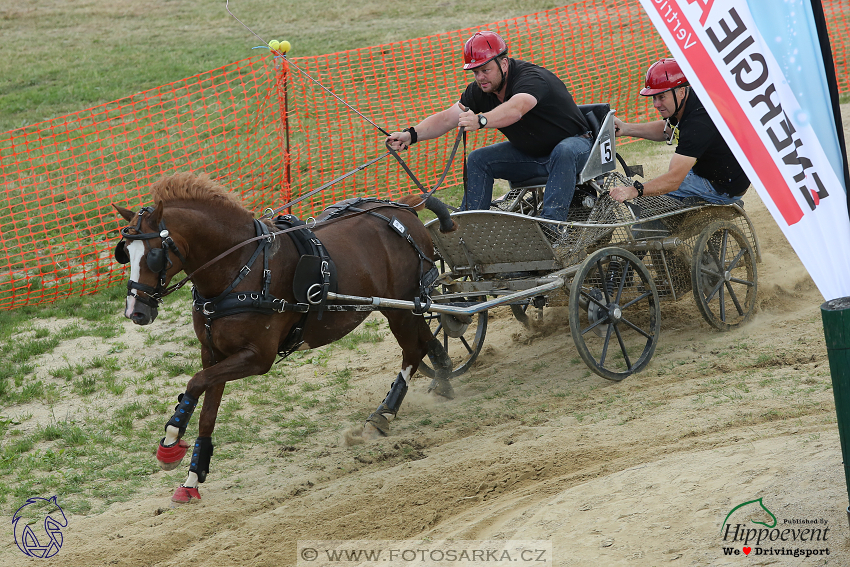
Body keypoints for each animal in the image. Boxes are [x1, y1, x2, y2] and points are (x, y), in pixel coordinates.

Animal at [117, 172, 458, 502]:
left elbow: (194, 383)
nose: (136, 311)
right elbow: (207, 412)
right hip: (407, 306)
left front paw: (171, 440)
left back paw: (383, 413)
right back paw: (443, 376)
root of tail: (404, 208)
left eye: (154, 255)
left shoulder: (258, 357)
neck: (240, 268)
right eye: (126, 253)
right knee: (427, 339)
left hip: (400, 307)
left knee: (412, 351)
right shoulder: (213, 353)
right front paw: (192, 479)